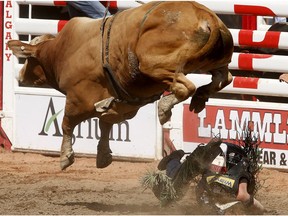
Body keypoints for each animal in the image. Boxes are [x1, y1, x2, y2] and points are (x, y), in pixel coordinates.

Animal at [7, 1, 234, 170]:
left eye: (28, 60)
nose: (21, 75)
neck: (61, 51)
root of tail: (206, 16)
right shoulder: (122, 105)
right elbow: (105, 123)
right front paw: (103, 155)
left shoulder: (77, 99)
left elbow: (67, 123)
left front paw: (65, 156)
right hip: (215, 61)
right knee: (224, 78)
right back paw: (200, 98)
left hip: (153, 64)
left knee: (185, 86)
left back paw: (165, 107)